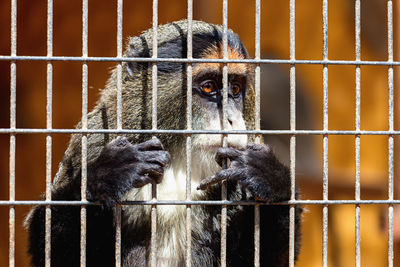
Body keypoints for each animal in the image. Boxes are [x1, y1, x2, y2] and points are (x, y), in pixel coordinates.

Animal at [25, 19, 300, 266]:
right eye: (208, 86)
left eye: (234, 88)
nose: (232, 120)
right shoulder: (93, 139)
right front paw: (107, 175)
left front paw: (269, 177)